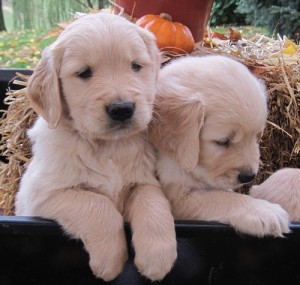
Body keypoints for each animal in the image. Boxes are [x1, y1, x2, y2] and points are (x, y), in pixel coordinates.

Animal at [14, 12, 176, 280]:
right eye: (84, 73)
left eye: (136, 66)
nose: (122, 109)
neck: (107, 148)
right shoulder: (41, 195)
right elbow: (99, 206)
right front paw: (110, 259)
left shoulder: (144, 179)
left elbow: (153, 200)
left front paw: (157, 256)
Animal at [150, 54, 290, 236]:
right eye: (223, 141)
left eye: (257, 137)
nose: (249, 177)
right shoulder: (176, 197)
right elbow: (220, 198)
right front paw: (262, 210)